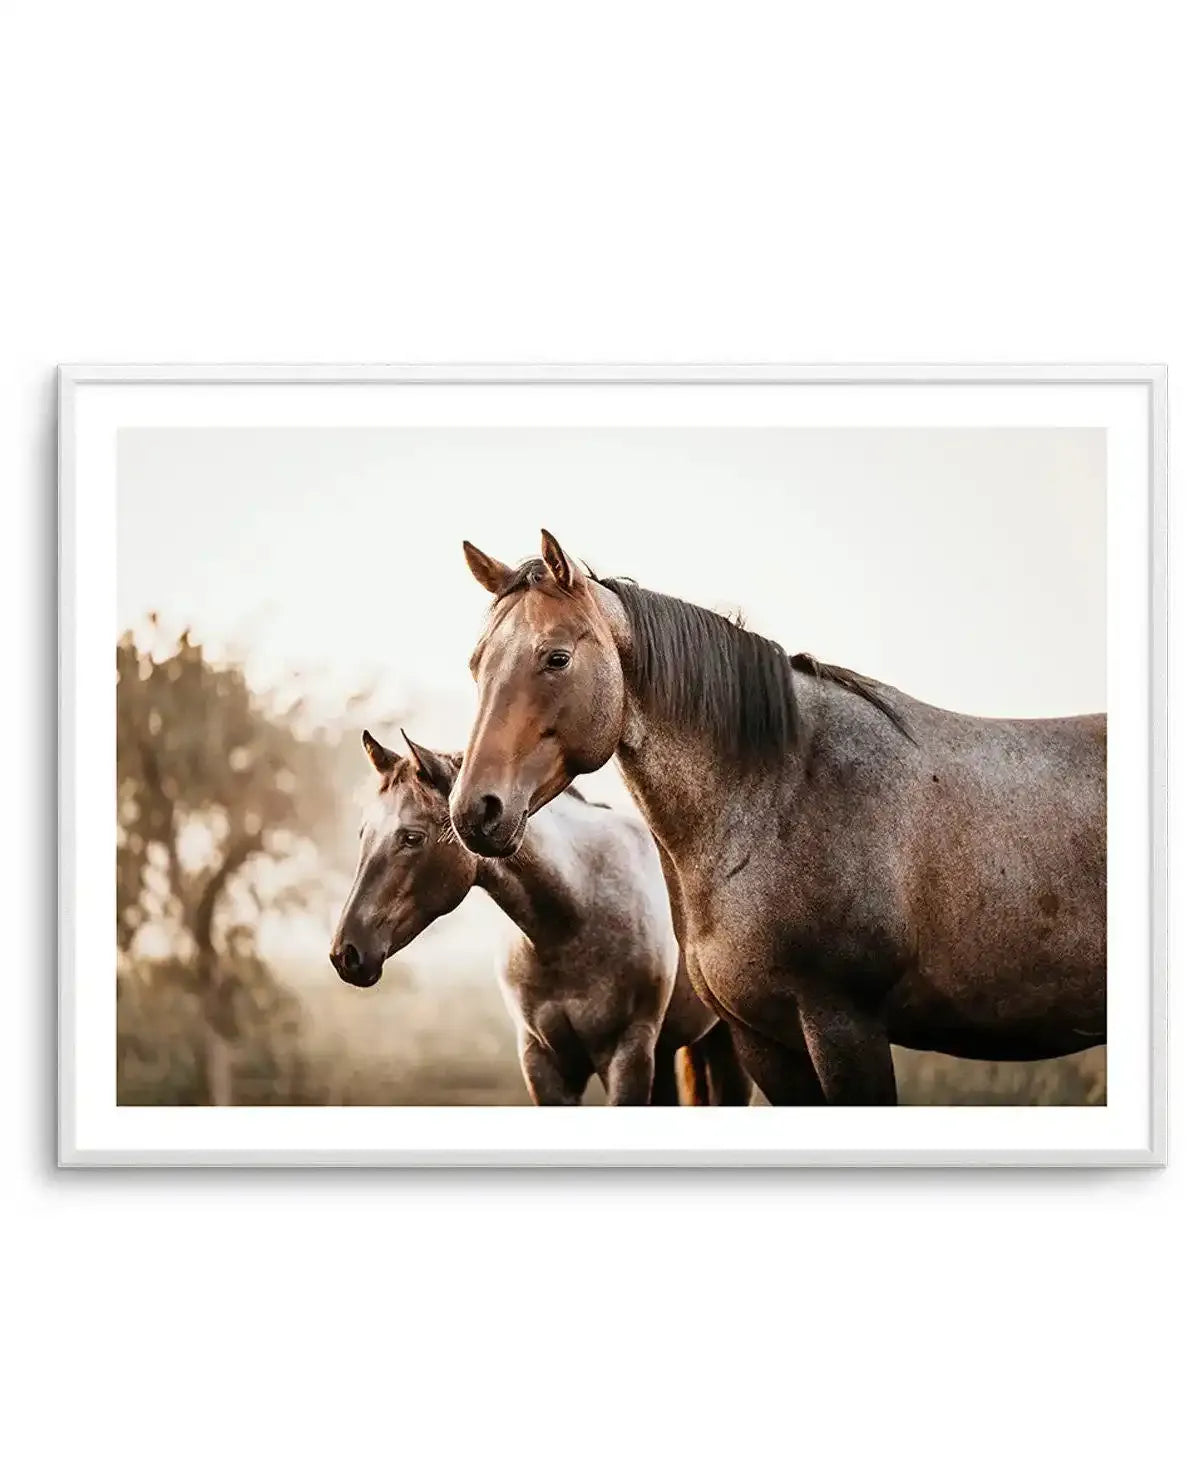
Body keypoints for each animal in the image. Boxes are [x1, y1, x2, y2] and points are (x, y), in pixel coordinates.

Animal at [329, 728, 751, 1106]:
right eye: (364, 834)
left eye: (412, 837)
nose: (345, 954)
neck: (573, 923)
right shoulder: (542, 1062)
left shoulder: (626, 1056)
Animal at [449, 529, 1107, 1106]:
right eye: (477, 665)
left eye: (556, 658)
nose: (475, 810)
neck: (780, 795)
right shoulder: (761, 1038)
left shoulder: (845, 1027)